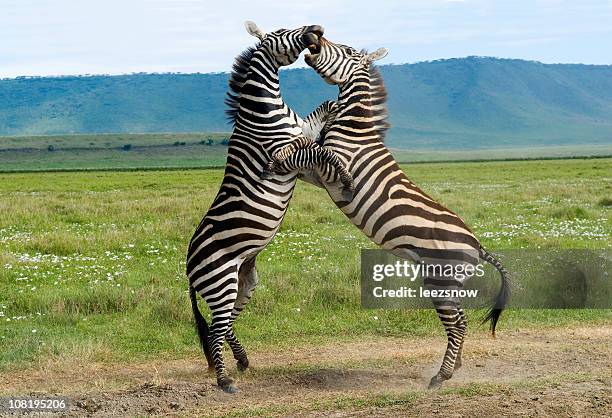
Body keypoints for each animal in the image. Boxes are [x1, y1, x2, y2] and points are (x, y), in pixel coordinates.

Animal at [190, 22, 354, 396]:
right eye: (282, 31)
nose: (317, 28)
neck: (266, 111)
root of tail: (187, 268)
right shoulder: (285, 154)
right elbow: (322, 152)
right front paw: (344, 172)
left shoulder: (302, 130)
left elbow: (322, 112)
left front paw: (338, 106)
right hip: (220, 281)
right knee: (217, 329)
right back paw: (225, 381)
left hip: (243, 280)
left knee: (225, 325)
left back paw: (242, 361)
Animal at [268, 37, 512, 390]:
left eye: (345, 50)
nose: (315, 40)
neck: (353, 129)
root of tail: (478, 245)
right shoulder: (319, 176)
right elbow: (302, 150)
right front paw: (280, 155)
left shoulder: (330, 171)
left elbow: (307, 153)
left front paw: (276, 159)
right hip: (452, 284)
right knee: (461, 321)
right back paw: (456, 366)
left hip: (440, 281)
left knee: (457, 324)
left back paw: (441, 376)